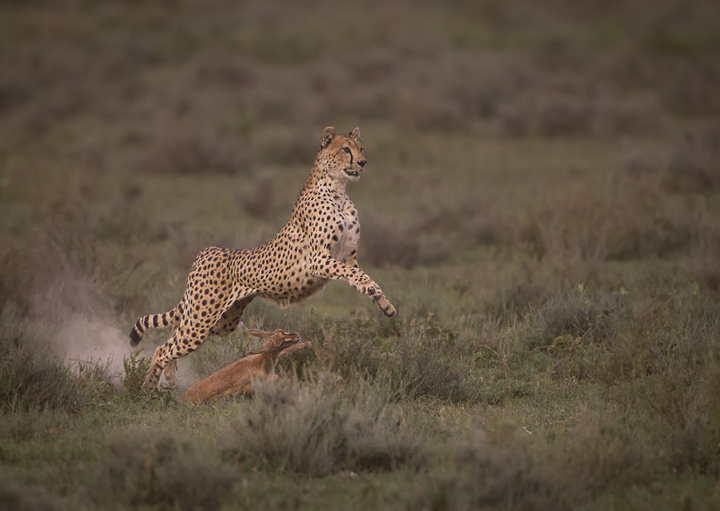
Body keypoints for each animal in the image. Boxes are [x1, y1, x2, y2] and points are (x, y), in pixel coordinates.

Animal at [128, 126, 396, 387]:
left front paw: (385, 304)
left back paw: (169, 376)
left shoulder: (348, 257)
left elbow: (359, 273)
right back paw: (149, 388)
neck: (338, 190)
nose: (362, 162)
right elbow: (356, 274)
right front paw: (372, 289)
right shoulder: (318, 260)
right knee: (164, 349)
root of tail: (208, 250)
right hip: (202, 320)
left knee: (170, 338)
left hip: (221, 321)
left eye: (361, 148)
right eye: (345, 149)